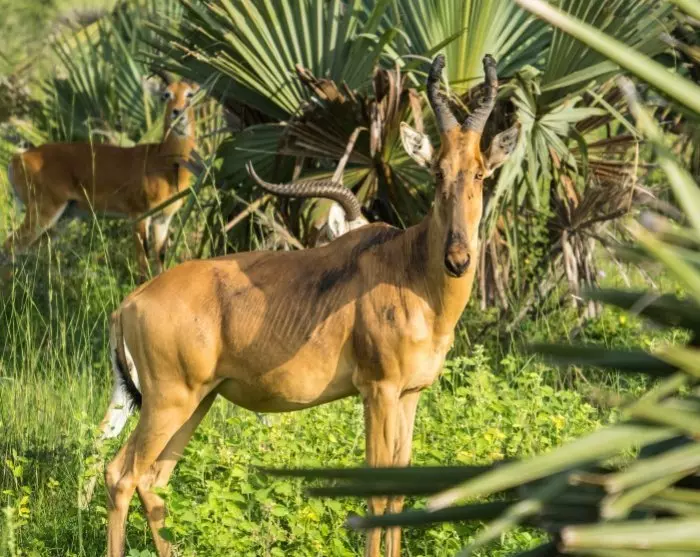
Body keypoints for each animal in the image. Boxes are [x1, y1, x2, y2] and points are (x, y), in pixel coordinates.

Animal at [2, 74, 198, 277]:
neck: (165, 164)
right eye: (166, 94)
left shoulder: (163, 219)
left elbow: (160, 263)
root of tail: (17, 158)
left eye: (190, 94)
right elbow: (143, 265)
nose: (178, 112)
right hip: (43, 212)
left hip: (62, 219)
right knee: (9, 246)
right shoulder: (138, 214)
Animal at [92, 54, 520, 557]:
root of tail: (129, 304)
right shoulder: (377, 391)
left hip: (196, 402)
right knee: (121, 476)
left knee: (153, 481)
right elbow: (377, 494)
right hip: (167, 402)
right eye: (436, 170)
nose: (458, 259)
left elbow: (398, 491)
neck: (408, 268)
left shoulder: (409, 395)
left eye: (481, 172)